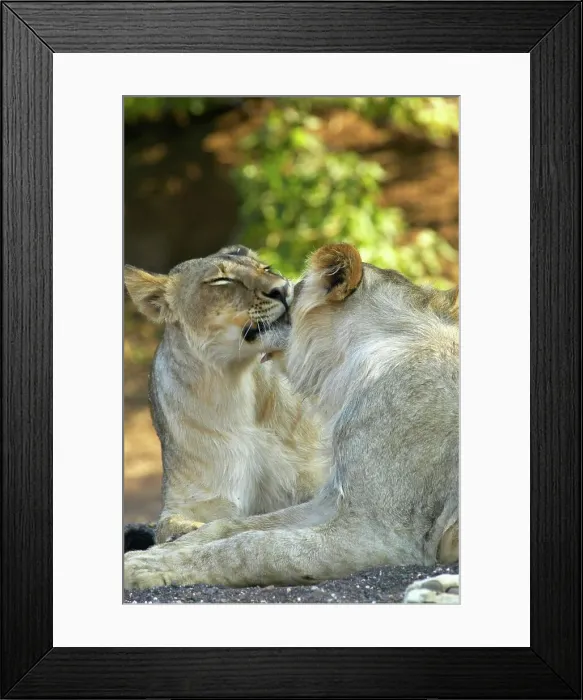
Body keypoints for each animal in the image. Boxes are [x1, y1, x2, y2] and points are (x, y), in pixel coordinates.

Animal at [124, 245, 329, 545]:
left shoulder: (314, 478)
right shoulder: (197, 497)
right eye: (222, 281)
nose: (282, 288)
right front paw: (184, 532)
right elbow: (169, 525)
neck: (240, 384)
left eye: (266, 269)